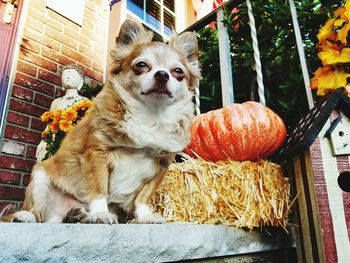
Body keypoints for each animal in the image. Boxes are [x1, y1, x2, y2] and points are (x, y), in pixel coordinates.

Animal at [9, 19, 201, 225]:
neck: (150, 116)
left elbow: (142, 198)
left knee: (56, 219)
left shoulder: (161, 167)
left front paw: (146, 216)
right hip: (40, 175)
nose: (162, 74)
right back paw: (25, 216)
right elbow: (99, 189)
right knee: (38, 213)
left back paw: (75, 214)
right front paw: (101, 213)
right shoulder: (96, 153)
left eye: (178, 71)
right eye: (141, 65)